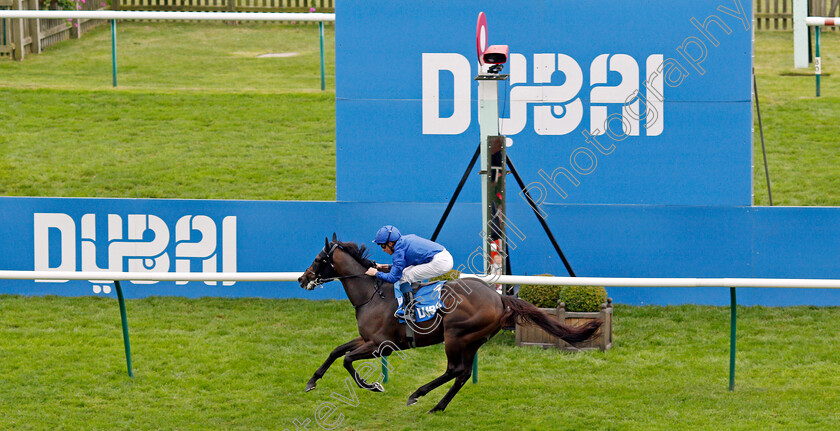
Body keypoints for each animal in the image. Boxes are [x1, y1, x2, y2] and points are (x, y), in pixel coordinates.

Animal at [298, 236, 600, 416]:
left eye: (318, 259)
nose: (302, 279)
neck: (372, 294)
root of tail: (499, 297)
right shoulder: (367, 340)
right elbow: (337, 351)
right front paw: (312, 381)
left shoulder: (383, 345)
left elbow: (348, 360)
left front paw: (373, 386)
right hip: (474, 339)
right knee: (463, 374)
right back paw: (438, 406)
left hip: (456, 335)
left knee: (454, 370)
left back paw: (417, 395)